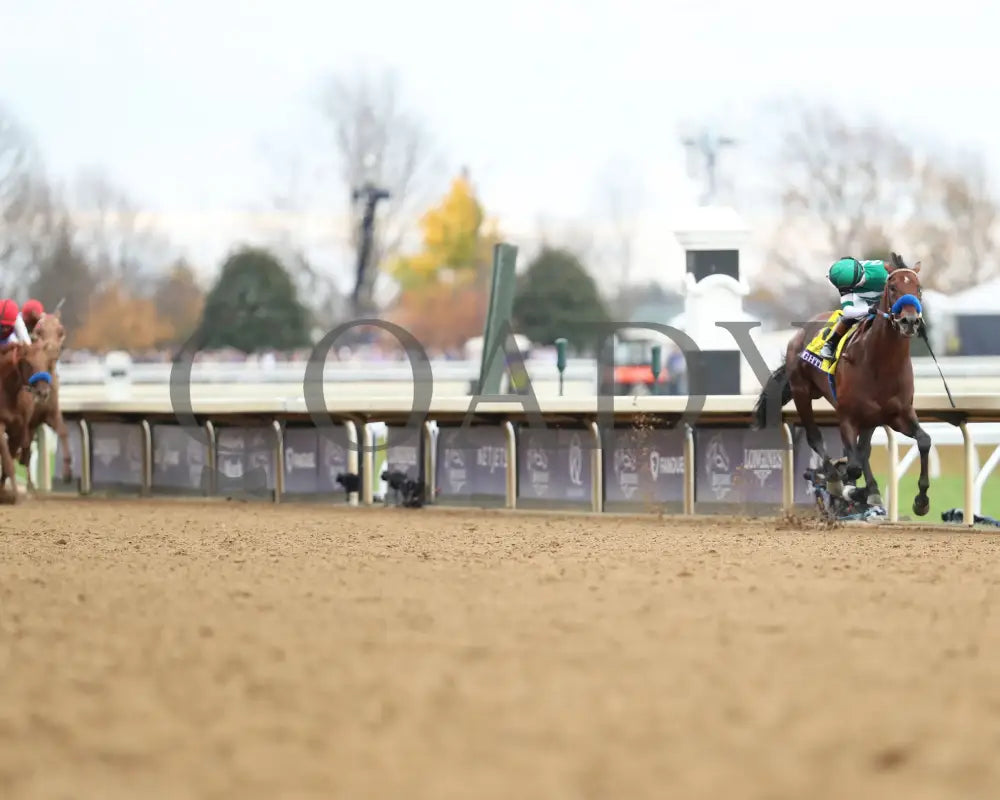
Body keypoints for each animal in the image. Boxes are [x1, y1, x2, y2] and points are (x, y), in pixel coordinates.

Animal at [0, 340, 53, 504]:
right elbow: (8, 462)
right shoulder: (0, 426)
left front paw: (5, 492)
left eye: (46, 362)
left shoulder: (18, 429)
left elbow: (8, 460)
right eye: (28, 363)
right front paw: (14, 495)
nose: (43, 392)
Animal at [752, 253, 932, 520]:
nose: (909, 320)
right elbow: (852, 466)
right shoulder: (847, 416)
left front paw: (921, 501)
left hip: (871, 418)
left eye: (918, 288)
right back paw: (837, 481)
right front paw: (846, 487)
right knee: (817, 439)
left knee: (864, 450)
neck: (881, 363)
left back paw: (869, 490)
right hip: (802, 392)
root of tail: (800, 333)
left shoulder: (898, 414)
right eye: (893, 288)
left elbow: (924, 441)